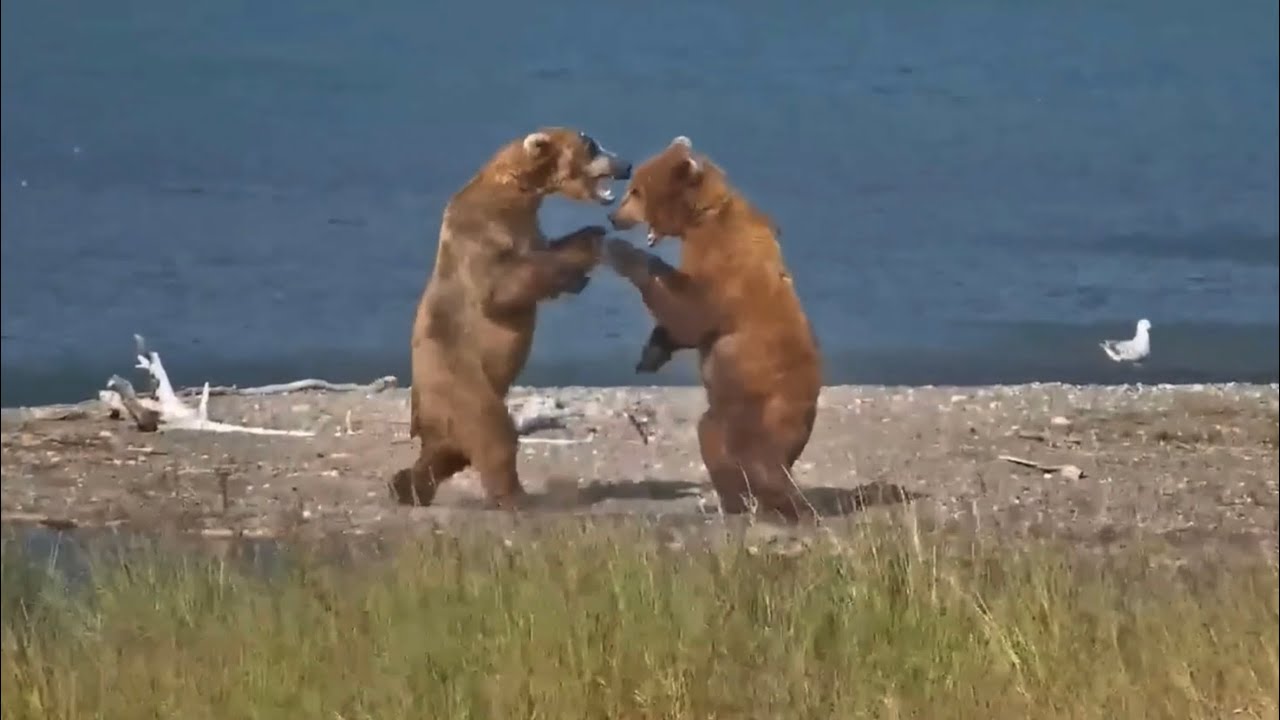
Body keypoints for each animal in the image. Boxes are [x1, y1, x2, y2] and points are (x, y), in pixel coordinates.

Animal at [391, 127, 632, 509]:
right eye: (592, 145)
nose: (626, 164)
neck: (518, 194)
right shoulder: (484, 238)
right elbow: (507, 286)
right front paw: (581, 259)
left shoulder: (530, 229)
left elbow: (552, 248)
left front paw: (589, 239)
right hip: (462, 384)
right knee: (493, 434)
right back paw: (516, 496)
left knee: (446, 453)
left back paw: (406, 487)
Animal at [603, 135, 823, 522]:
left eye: (636, 191)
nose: (614, 218)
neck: (702, 218)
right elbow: (682, 325)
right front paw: (651, 354)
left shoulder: (725, 267)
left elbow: (689, 313)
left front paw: (619, 253)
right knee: (716, 442)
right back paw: (738, 502)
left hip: (756, 407)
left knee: (748, 456)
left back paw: (771, 504)